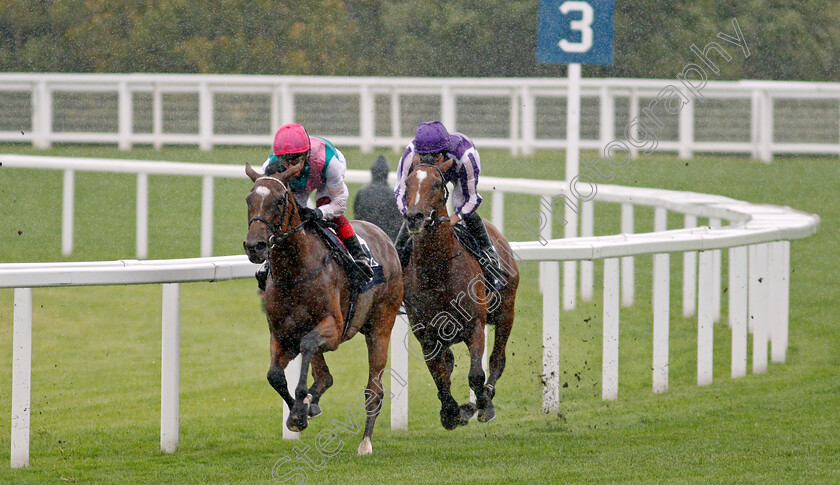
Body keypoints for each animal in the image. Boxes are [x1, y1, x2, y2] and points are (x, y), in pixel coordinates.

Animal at [243, 163, 404, 454]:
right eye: (249, 200)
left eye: (279, 200)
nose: (254, 246)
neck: (295, 271)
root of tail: (384, 236)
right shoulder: (281, 334)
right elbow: (275, 375)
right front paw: (299, 412)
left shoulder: (333, 329)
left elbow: (307, 349)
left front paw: (299, 409)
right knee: (325, 376)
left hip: (381, 326)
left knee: (373, 390)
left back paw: (365, 442)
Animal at [402, 158, 520, 428]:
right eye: (408, 182)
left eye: (437, 183)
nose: (414, 217)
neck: (437, 270)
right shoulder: (426, 337)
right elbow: (441, 378)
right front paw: (451, 412)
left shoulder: (475, 325)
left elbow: (476, 375)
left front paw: (482, 406)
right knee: (448, 362)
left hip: (506, 311)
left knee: (498, 358)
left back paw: (488, 395)